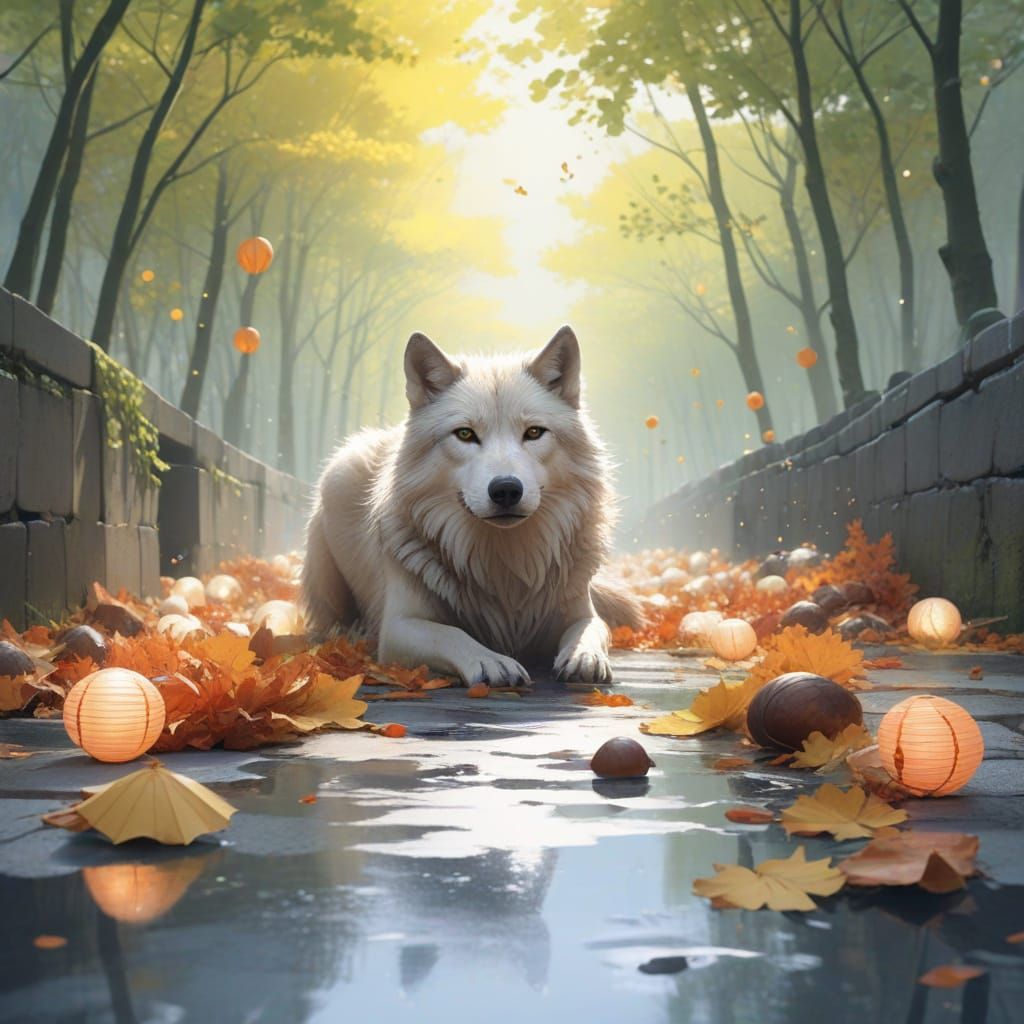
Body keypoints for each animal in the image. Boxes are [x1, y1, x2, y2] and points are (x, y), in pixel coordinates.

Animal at [301, 326, 642, 685]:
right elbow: (451, 634)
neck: (505, 565)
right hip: (336, 490)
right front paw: (492, 662)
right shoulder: (398, 628)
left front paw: (585, 657)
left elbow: (592, 628)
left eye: (534, 432)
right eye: (465, 434)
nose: (506, 489)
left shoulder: (577, 611)